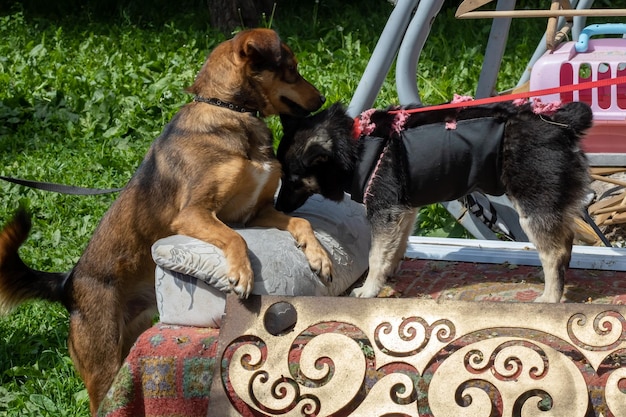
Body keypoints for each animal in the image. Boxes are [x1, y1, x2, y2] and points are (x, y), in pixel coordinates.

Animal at [0, 28, 332, 412]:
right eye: (291, 68)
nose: (323, 98)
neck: (229, 111)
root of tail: (67, 284)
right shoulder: (195, 213)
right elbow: (236, 239)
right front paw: (241, 274)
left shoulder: (257, 211)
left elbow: (302, 223)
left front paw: (320, 257)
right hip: (102, 360)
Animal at [276, 101, 588, 302]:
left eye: (292, 179)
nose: (277, 209)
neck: (355, 146)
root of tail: (561, 126)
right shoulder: (403, 209)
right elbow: (396, 246)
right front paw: (389, 274)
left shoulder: (384, 211)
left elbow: (376, 255)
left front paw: (370, 289)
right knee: (566, 242)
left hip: (533, 205)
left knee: (554, 252)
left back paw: (550, 297)